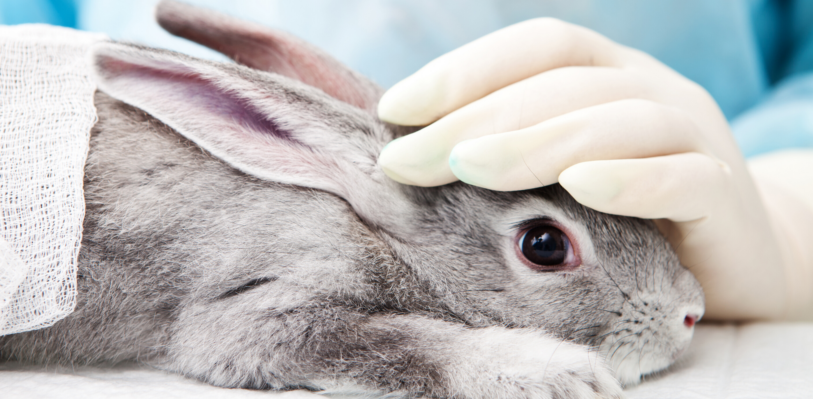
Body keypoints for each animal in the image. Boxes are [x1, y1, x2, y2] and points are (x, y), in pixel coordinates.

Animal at [0, 1, 700, 398]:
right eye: (545, 245)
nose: (691, 313)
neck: (374, 231)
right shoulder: (262, 310)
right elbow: (409, 344)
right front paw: (559, 373)